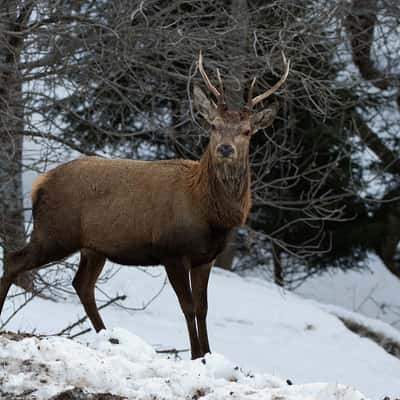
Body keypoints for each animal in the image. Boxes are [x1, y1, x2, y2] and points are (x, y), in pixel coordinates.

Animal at [0, 50, 290, 360]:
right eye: (213, 125)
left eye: (247, 131)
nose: (225, 148)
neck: (208, 213)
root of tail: (39, 183)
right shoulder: (171, 250)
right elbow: (188, 306)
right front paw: (195, 355)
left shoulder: (206, 258)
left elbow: (203, 308)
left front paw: (208, 354)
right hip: (55, 233)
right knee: (15, 259)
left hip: (93, 247)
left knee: (82, 284)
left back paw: (109, 337)